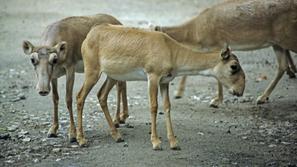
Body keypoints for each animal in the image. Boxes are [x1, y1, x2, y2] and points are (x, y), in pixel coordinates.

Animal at [21, 13, 126, 143]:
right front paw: (53, 130)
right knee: (120, 84)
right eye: (32, 59)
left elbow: (68, 99)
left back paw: (118, 119)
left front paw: (72, 134)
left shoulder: (70, 69)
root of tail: (119, 22)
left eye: (54, 59)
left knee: (120, 85)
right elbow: (55, 98)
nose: (43, 90)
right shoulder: (54, 76)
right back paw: (120, 118)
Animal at [76, 23, 245, 150]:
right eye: (234, 66)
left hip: (112, 76)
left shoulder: (164, 82)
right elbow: (154, 106)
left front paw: (174, 143)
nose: (240, 90)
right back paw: (82, 139)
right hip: (92, 72)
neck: (171, 50)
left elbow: (167, 106)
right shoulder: (153, 77)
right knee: (80, 97)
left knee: (101, 96)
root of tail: (90, 35)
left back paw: (117, 136)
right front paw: (156, 142)